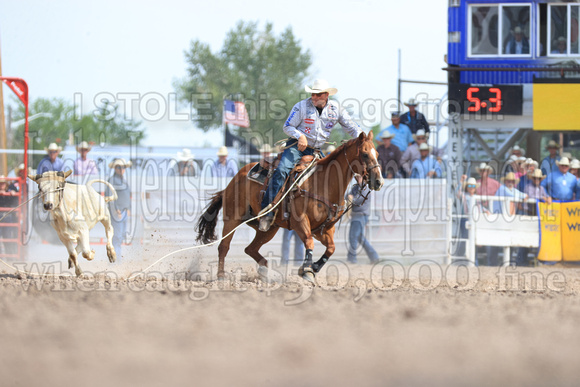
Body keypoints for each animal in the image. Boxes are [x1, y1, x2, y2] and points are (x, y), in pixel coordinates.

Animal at [196, 130, 386, 282]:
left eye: (377, 153)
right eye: (364, 154)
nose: (378, 181)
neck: (322, 183)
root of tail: (234, 180)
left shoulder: (324, 229)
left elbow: (331, 248)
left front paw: (312, 268)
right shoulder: (300, 222)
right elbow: (309, 241)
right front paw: (307, 271)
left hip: (268, 228)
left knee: (250, 248)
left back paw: (268, 272)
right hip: (232, 218)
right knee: (224, 246)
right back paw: (221, 276)